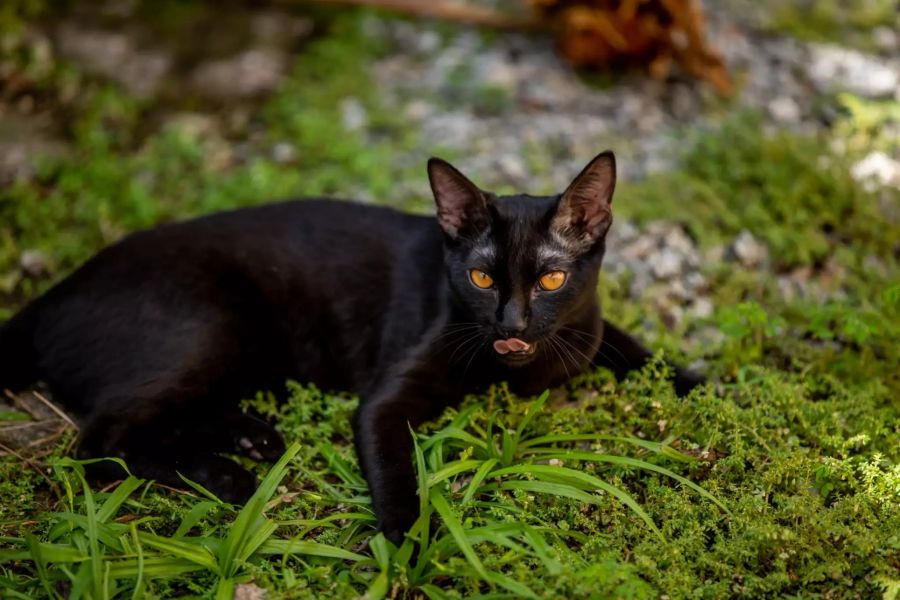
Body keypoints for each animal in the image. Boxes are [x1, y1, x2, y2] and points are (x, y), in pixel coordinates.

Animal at [0, 151, 704, 544]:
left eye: (552, 280)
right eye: (481, 279)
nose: (512, 323)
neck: (520, 372)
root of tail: (52, 296)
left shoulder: (587, 328)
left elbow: (639, 350)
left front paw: (710, 389)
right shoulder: (385, 399)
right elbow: (394, 466)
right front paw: (409, 543)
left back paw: (253, 439)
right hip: (208, 327)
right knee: (100, 441)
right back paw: (226, 474)